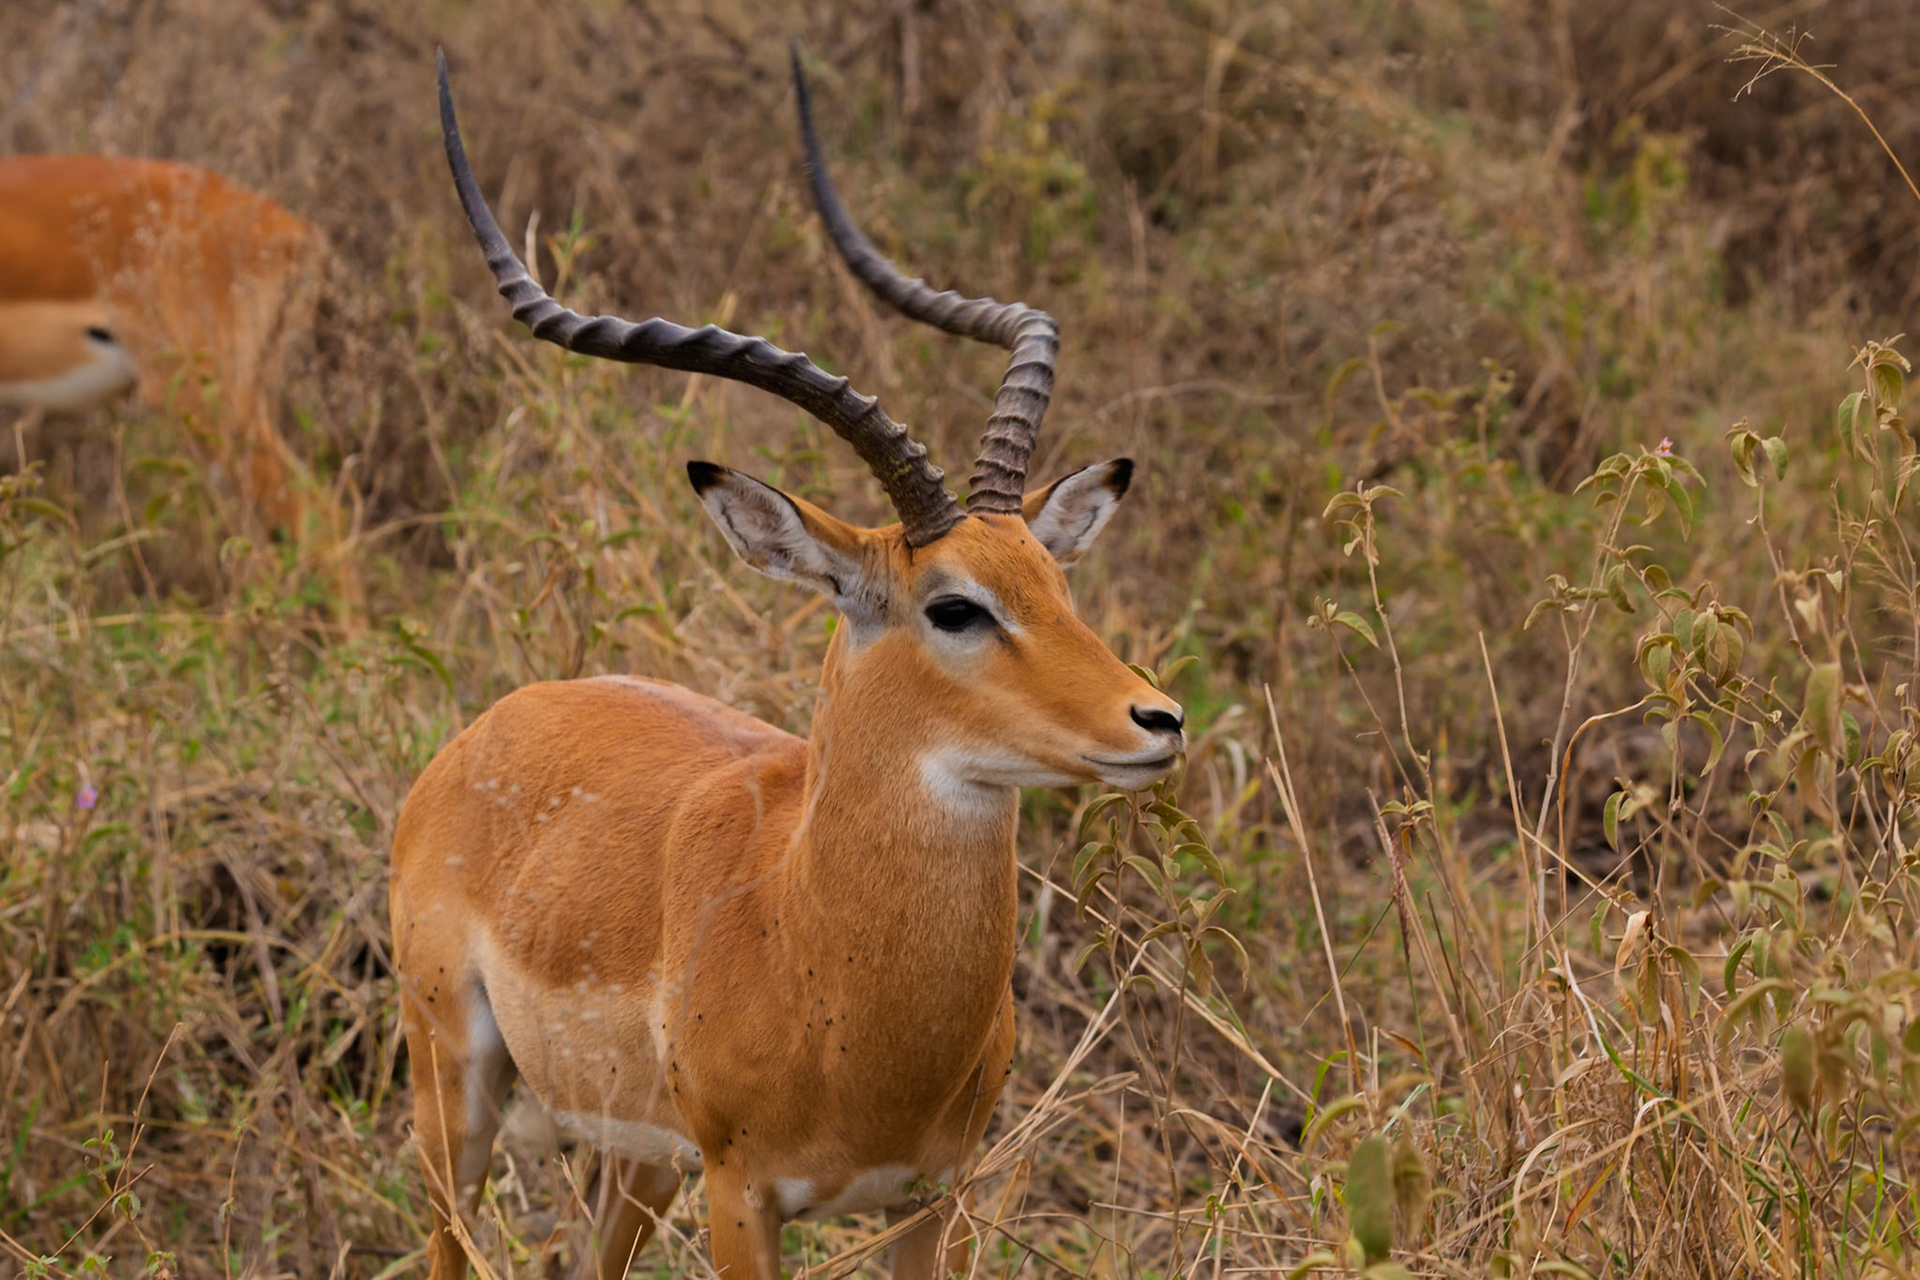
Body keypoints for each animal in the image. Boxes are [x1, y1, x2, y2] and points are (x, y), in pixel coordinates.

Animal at [393, 50, 1185, 1280]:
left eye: (1059, 585)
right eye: (953, 607)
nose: (1158, 720)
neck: (813, 945)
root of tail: (490, 727)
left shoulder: (936, 1197)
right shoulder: (743, 1191)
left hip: (639, 1160)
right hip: (454, 1096)